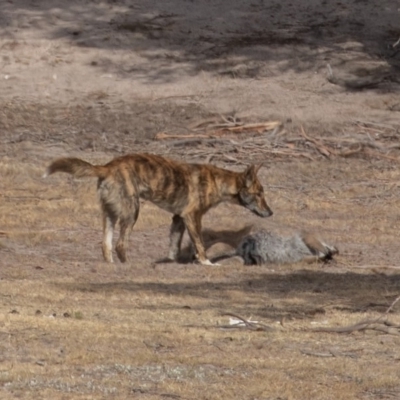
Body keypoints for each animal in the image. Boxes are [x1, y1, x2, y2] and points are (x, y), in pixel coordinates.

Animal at [43, 155, 272, 264]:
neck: (218, 181)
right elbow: (200, 245)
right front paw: (207, 263)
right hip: (132, 213)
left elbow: (173, 247)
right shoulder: (192, 217)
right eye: (259, 194)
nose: (271, 213)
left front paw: (171, 262)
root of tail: (107, 166)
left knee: (106, 245)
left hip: (110, 215)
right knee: (120, 245)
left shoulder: (178, 219)